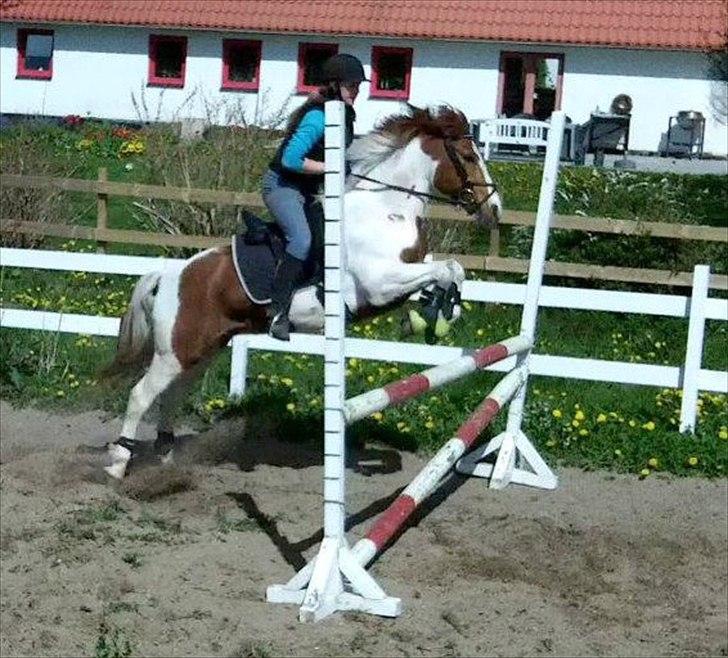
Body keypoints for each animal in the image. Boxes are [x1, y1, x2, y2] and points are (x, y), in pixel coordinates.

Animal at [103, 104, 502, 479]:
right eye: (469, 157)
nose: (495, 210)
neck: (386, 209)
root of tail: (169, 276)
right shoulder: (380, 282)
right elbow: (446, 269)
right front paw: (436, 318)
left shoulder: (404, 275)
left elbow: (447, 273)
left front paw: (433, 318)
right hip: (175, 353)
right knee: (141, 395)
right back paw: (118, 465)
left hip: (200, 351)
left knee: (171, 397)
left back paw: (165, 463)